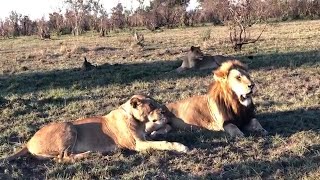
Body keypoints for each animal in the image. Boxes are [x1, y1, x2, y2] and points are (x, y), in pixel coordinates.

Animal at [1, 95, 189, 162]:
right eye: (151, 105)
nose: (163, 110)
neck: (137, 120)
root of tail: (28, 142)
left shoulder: (145, 138)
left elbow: (159, 136)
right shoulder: (138, 145)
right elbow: (164, 143)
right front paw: (181, 147)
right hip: (69, 127)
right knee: (63, 158)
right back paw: (89, 154)